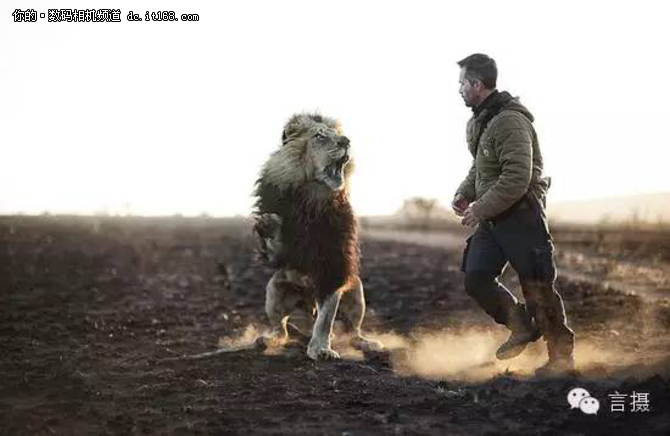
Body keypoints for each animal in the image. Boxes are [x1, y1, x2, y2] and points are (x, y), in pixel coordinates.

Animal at [253, 113, 384, 362]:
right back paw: (266, 339)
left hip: (356, 291)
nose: (346, 141)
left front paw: (321, 349)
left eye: (339, 135)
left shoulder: (334, 267)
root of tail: (307, 303)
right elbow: (276, 250)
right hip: (273, 289)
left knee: (353, 331)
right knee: (280, 328)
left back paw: (369, 344)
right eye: (320, 136)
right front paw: (269, 224)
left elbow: (325, 320)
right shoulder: (281, 256)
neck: (312, 200)